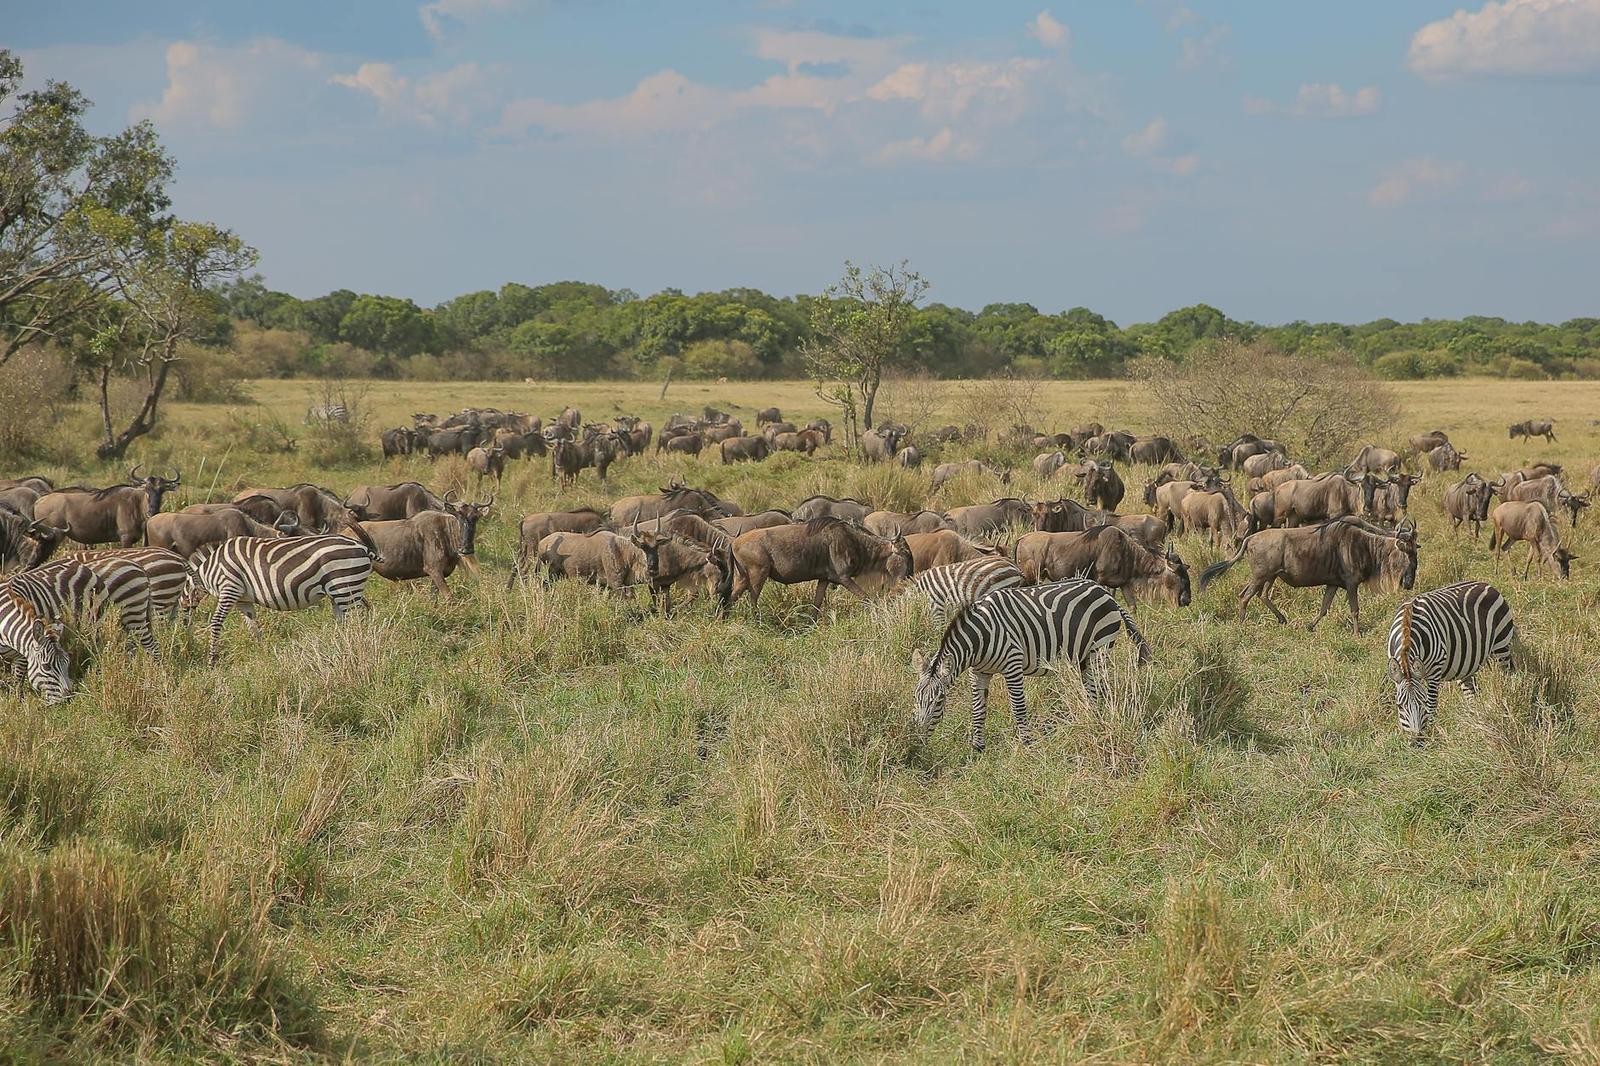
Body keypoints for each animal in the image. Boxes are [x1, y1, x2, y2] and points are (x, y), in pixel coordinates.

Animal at [186, 531, 380, 665]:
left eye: (182, 592)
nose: (184, 628)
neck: (210, 569)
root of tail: (362, 547)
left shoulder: (230, 588)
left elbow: (216, 621)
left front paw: (212, 660)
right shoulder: (243, 600)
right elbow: (253, 626)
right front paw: (261, 652)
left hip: (344, 584)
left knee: (357, 621)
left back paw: (358, 647)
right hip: (345, 590)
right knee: (353, 617)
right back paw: (343, 645)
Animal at [912, 578, 1151, 751]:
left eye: (939, 702)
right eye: (915, 698)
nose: (917, 743)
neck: (980, 638)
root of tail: (1105, 592)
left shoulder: (1013, 665)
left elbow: (1018, 708)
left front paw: (1026, 743)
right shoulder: (979, 672)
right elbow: (978, 708)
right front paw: (977, 748)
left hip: (1099, 649)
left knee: (1099, 688)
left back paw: (1099, 719)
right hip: (1085, 656)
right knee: (1091, 689)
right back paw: (1091, 718)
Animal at [1388, 580, 1516, 742]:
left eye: (1422, 702)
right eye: (1399, 706)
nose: (1417, 740)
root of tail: (1485, 584)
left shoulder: (1435, 669)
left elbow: (1432, 704)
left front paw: (1433, 735)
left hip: (1501, 645)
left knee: (1507, 675)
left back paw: (1509, 699)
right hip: (1466, 664)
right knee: (1471, 693)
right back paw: (1475, 721)